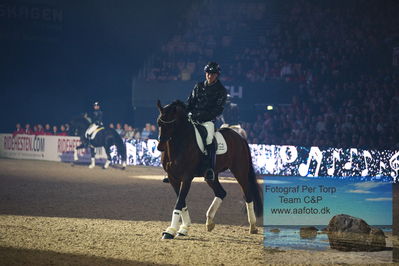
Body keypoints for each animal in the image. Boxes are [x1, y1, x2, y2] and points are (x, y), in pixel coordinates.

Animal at [158, 101, 264, 240]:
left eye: (172, 123)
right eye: (159, 123)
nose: (160, 147)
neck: (180, 144)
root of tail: (240, 138)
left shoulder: (187, 177)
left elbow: (179, 202)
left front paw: (170, 231)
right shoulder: (173, 178)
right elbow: (182, 201)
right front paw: (184, 228)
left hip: (240, 171)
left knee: (248, 194)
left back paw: (252, 226)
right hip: (211, 176)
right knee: (221, 193)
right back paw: (209, 222)